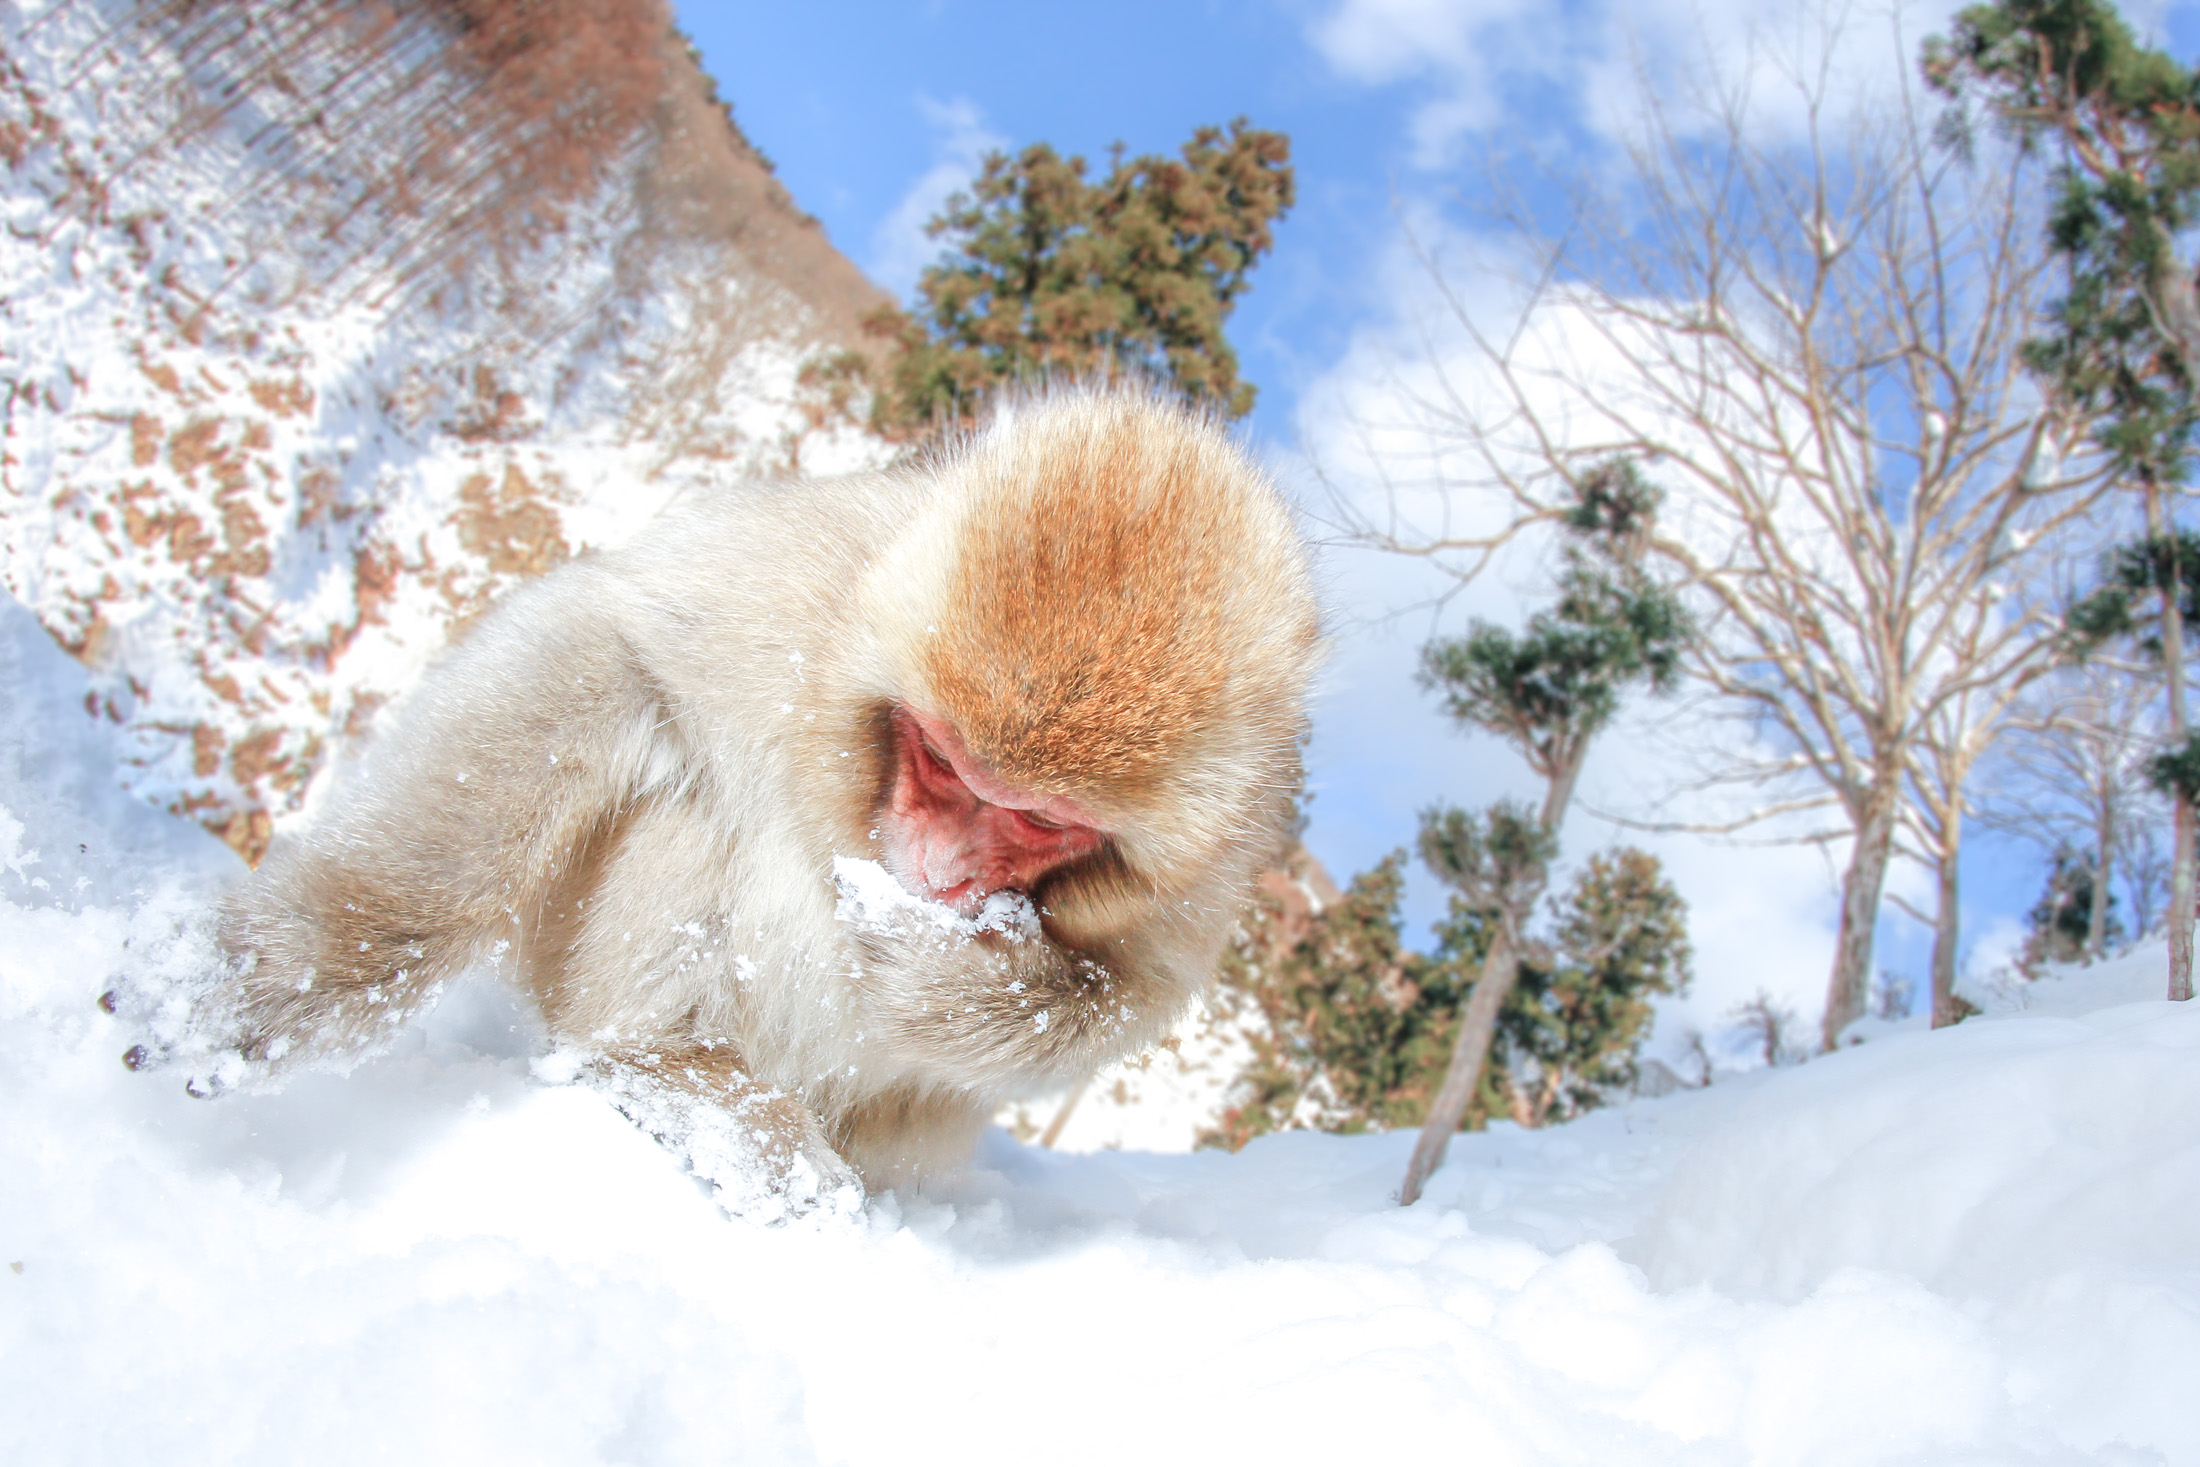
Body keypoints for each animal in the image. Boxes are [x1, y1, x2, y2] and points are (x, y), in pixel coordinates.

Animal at [189, 389, 1311, 1214]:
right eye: (942, 764)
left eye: (1038, 819)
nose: (941, 870)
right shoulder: (803, 591)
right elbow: (613, 646)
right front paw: (294, 964)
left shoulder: (1218, 863)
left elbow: (1129, 993)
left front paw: (938, 967)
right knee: (691, 797)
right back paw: (660, 1068)